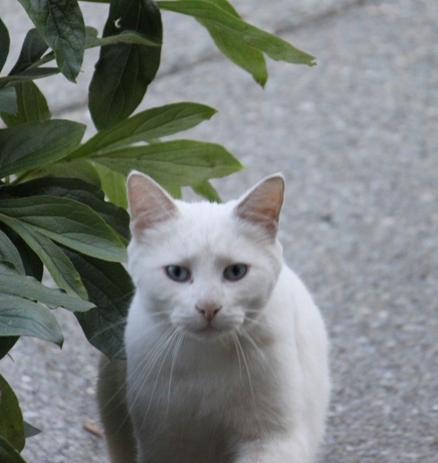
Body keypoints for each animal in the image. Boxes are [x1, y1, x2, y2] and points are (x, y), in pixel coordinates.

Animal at [96, 173, 328, 463]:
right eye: (176, 273)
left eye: (236, 271)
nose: (208, 307)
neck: (206, 362)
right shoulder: (163, 443)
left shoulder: (273, 438)